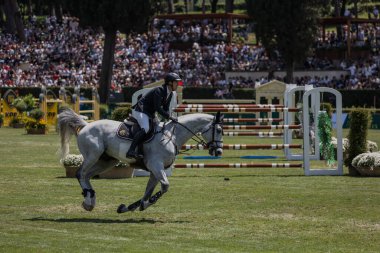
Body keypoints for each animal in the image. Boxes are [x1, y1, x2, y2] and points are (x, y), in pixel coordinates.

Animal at [58, 107, 224, 212]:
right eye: (219, 130)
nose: (218, 151)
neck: (171, 136)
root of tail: (87, 125)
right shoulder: (156, 166)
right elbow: (164, 187)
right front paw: (145, 204)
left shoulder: (156, 171)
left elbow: (148, 192)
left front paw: (129, 207)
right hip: (93, 156)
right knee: (80, 173)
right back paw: (88, 201)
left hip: (107, 161)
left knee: (86, 175)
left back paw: (90, 200)